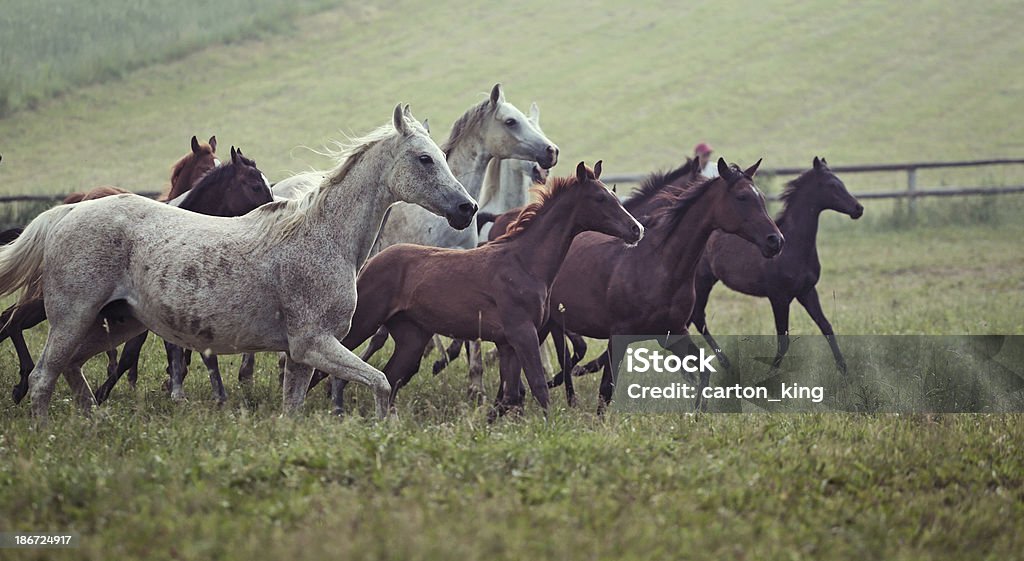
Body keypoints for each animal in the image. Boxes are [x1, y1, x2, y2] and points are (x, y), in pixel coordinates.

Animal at [0, 105, 475, 421]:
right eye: (424, 159)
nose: (466, 209)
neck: (322, 235)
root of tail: (65, 213)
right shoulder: (314, 344)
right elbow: (379, 382)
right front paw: (383, 427)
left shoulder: (301, 356)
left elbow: (293, 409)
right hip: (72, 317)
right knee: (43, 378)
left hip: (117, 324)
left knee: (71, 369)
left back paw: (95, 424)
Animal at [327, 161, 643, 415]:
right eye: (601, 198)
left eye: (614, 195)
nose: (637, 229)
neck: (524, 262)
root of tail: (370, 263)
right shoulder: (523, 334)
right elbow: (538, 388)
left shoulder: (507, 344)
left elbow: (512, 395)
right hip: (365, 321)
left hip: (411, 338)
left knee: (390, 378)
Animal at [544, 157, 782, 411]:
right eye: (742, 197)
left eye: (761, 198)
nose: (775, 241)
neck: (659, 264)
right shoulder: (618, 335)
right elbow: (606, 388)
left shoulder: (673, 333)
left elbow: (703, 371)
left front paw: (698, 410)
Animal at [688, 155, 864, 372]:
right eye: (832, 184)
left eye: (841, 181)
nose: (858, 208)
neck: (794, 247)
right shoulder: (779, 297)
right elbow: (783, 341)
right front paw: (771, 373)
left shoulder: (807, 291)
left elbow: (827, 327)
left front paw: (844, 370)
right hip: (701, 282)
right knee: (697, 317)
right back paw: (722, 362)